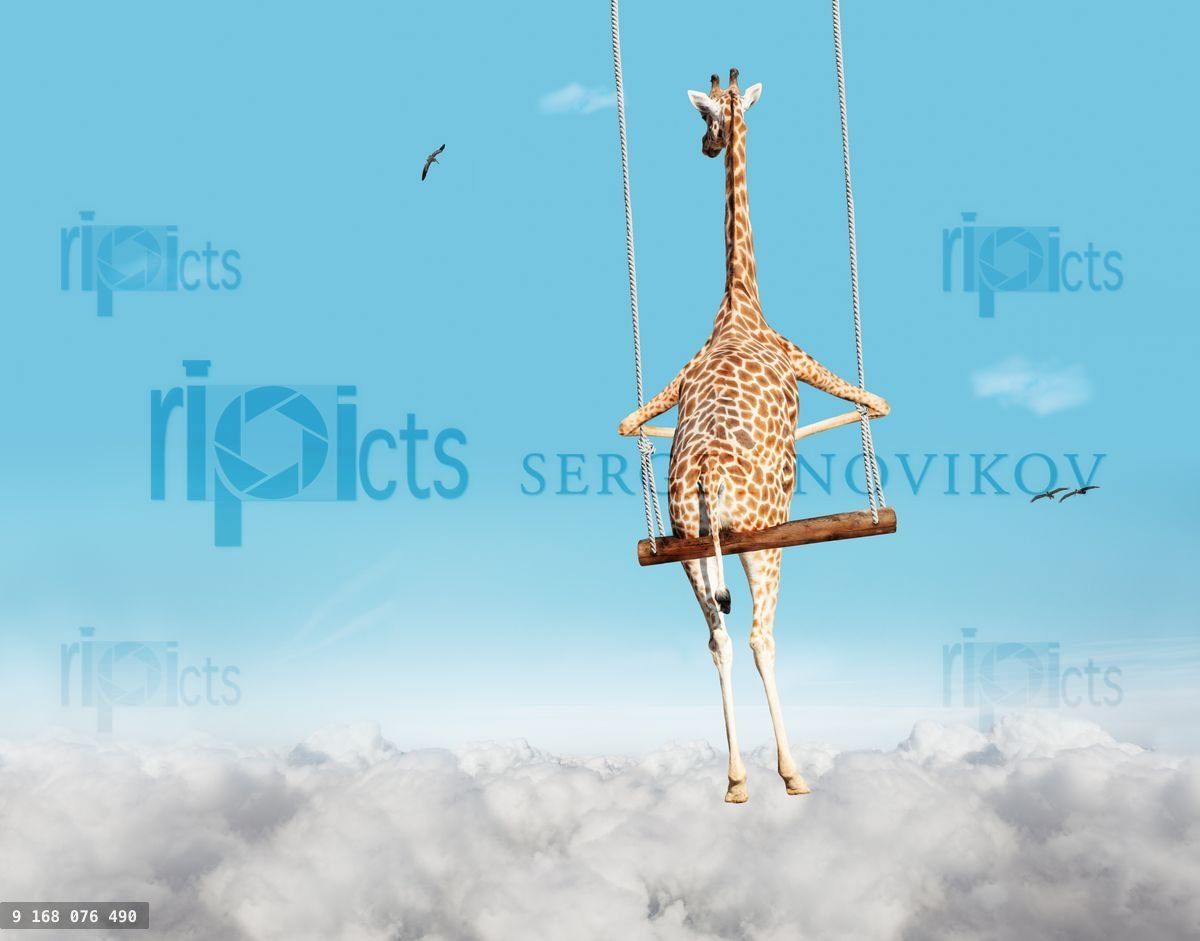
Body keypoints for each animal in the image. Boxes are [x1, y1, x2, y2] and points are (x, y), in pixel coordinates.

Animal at [618, 69, 891, 803]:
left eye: (708, 116)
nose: (706, 146)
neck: (740, 301)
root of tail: (707, 479)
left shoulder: (667, 388)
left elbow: (627, 421)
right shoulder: (805, 359)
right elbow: (876, 403)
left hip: (685, 549)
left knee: (717, 639)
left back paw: (737, 779)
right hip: (764, 538)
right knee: (760, 636)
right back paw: (789, 773)